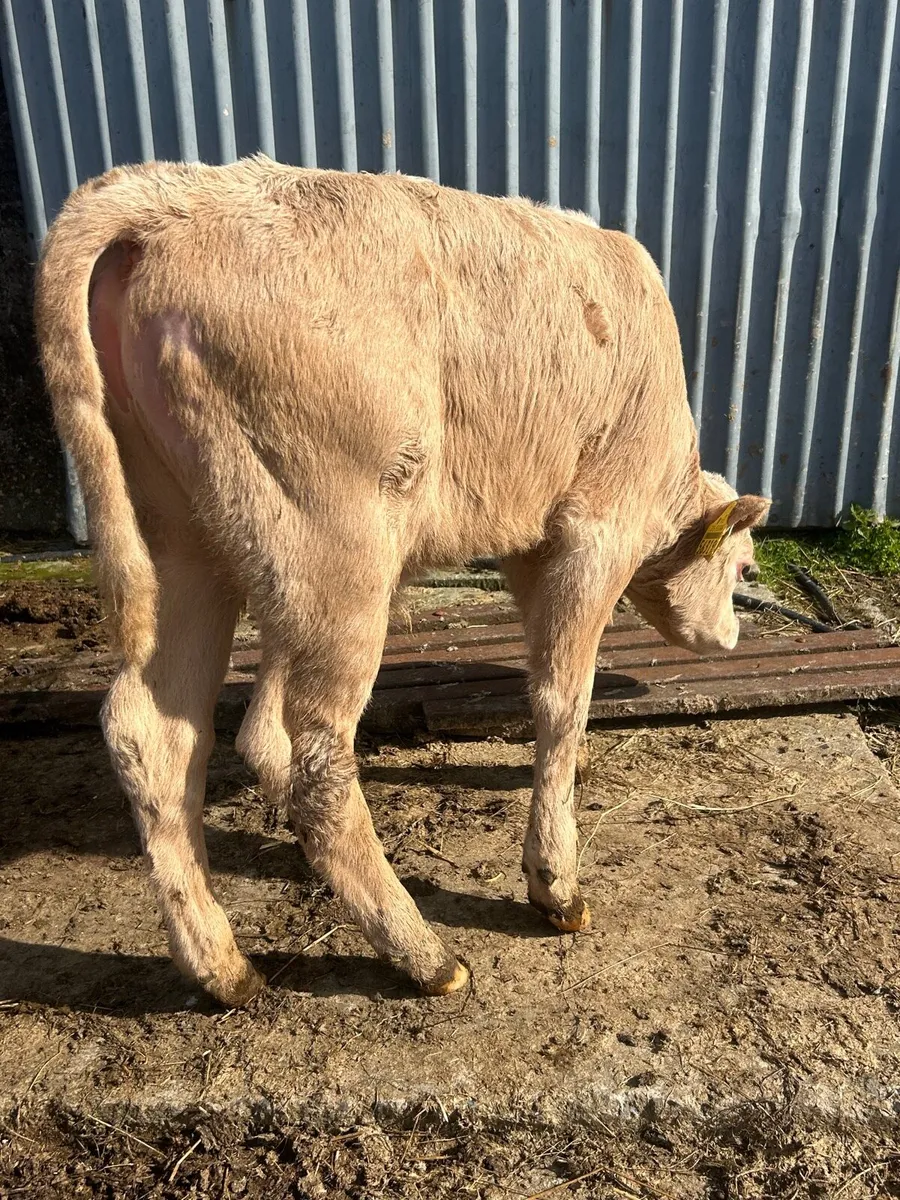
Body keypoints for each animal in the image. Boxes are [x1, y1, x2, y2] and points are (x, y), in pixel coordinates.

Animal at [34, 157, 769, 1008]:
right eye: (744, 567)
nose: (733, 636)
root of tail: (172, 196)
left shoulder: (530, 540)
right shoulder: (595, 527)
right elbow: (562, 694)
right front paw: (555, 880)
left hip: (185, 540)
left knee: (156, 729)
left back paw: (222, 966)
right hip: (333, 544)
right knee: (319, 756)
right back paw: (422, 954)